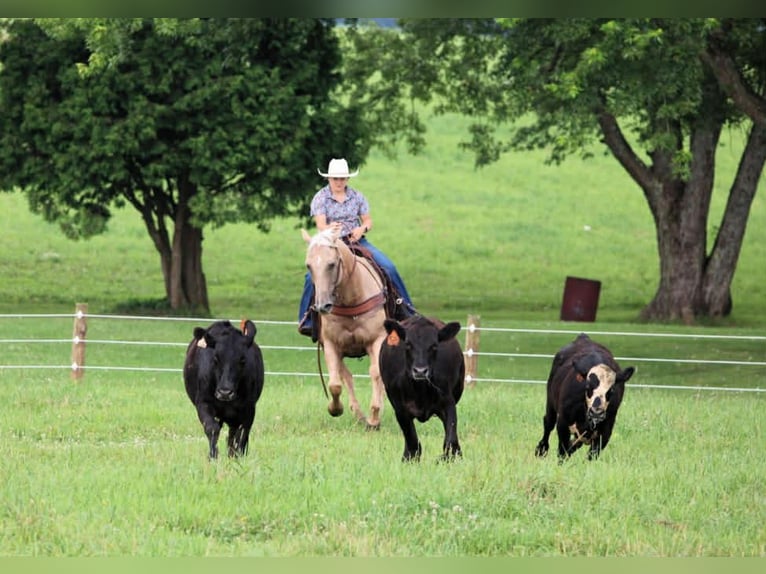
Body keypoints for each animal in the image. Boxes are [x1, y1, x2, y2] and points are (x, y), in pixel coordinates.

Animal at [301, 226, 388, 430]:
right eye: (309, 266)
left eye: (331, 264)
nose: (322, 306)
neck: (351, 299)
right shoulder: (331, 345)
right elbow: (335, 383)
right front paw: (335, 409)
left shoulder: (377, 340)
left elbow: (376, 373)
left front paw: (374, 418)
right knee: (345, 376)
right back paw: (358, 414)